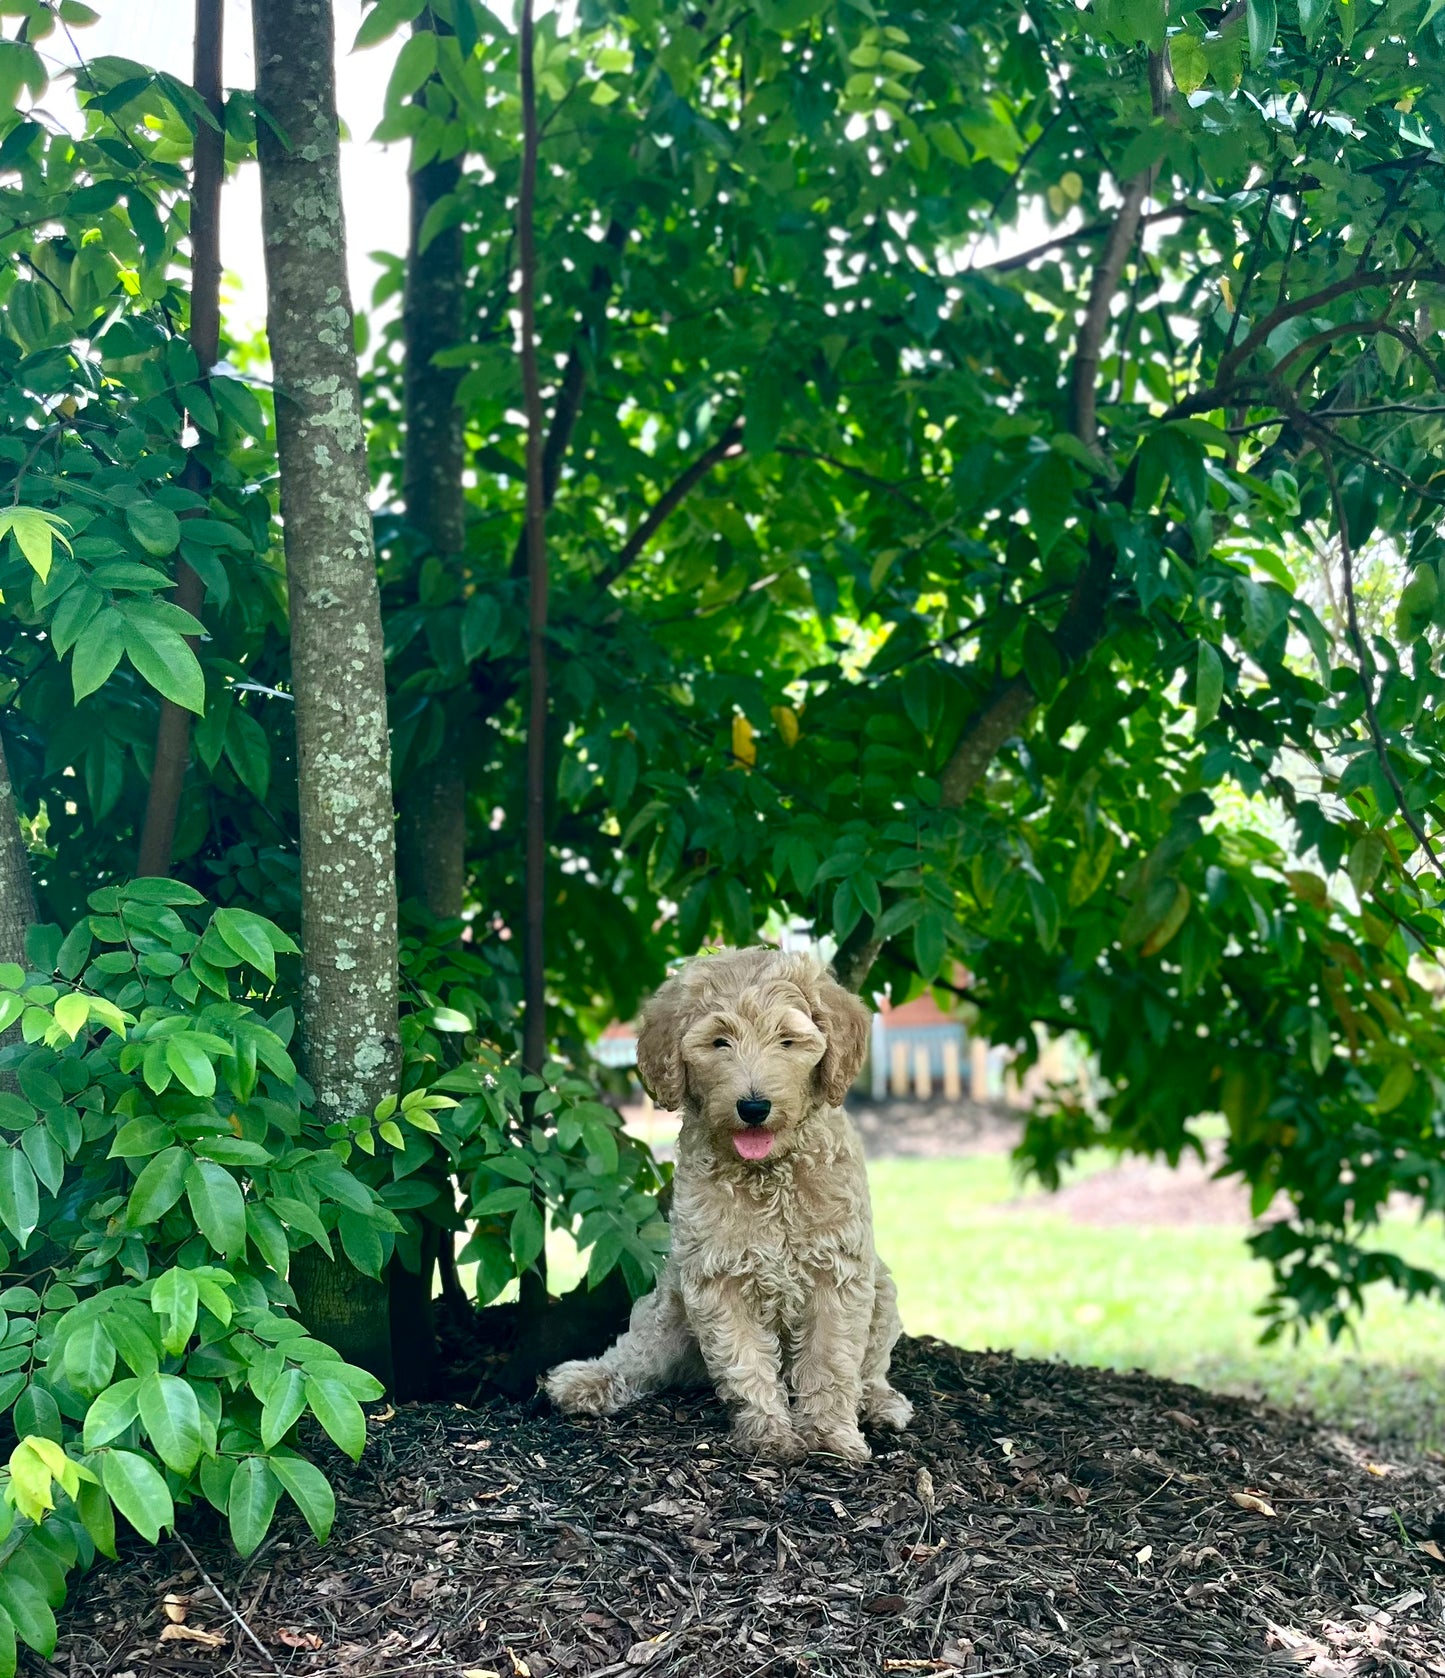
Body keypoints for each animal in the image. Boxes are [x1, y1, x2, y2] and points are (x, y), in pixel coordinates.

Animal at [547, 953, 906, 1463]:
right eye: (720, 1041)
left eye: (787, 1040)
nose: (754, 1107)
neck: (768, 1173)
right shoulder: (717, 1276)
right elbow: (744, 1360)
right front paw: (768, 1433)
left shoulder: (837, 1273)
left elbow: (830, 1361)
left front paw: (829, 1437)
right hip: (669, 1304)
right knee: (640, 1354)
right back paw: (589, 1380)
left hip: (882, 1292)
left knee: (871, 1366)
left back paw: (879, 1402)